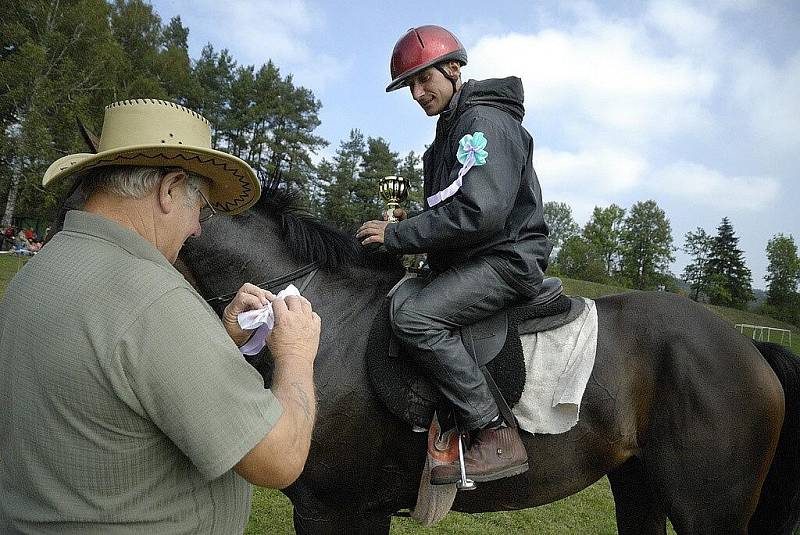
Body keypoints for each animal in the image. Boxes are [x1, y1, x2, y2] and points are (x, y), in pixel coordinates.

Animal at [177, 189, 800, 535]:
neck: (324, 317)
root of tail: (750, 348)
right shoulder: (360, 509)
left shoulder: (328, 506)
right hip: (638, 486)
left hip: (708, 510)